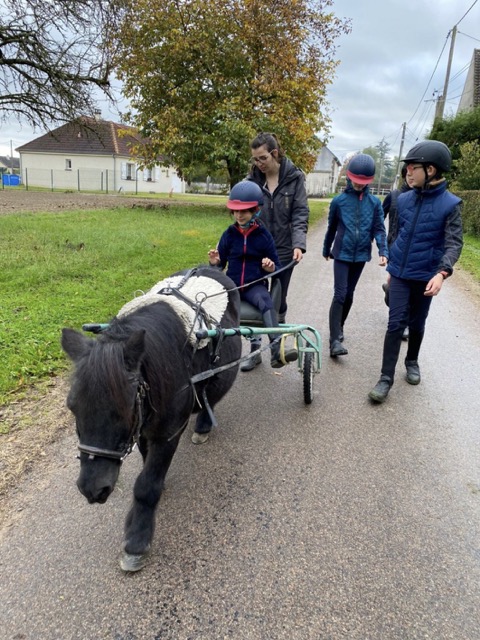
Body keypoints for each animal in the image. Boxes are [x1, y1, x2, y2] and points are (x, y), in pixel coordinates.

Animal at [62, 264, 242, 568]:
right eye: (72, 406)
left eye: (123, 409)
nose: (92, 489)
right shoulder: (144, 428)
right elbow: (147, 465)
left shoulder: (168, 433)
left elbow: (145, 486)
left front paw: (136, 540)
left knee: (211, 394)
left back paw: (204, 425)